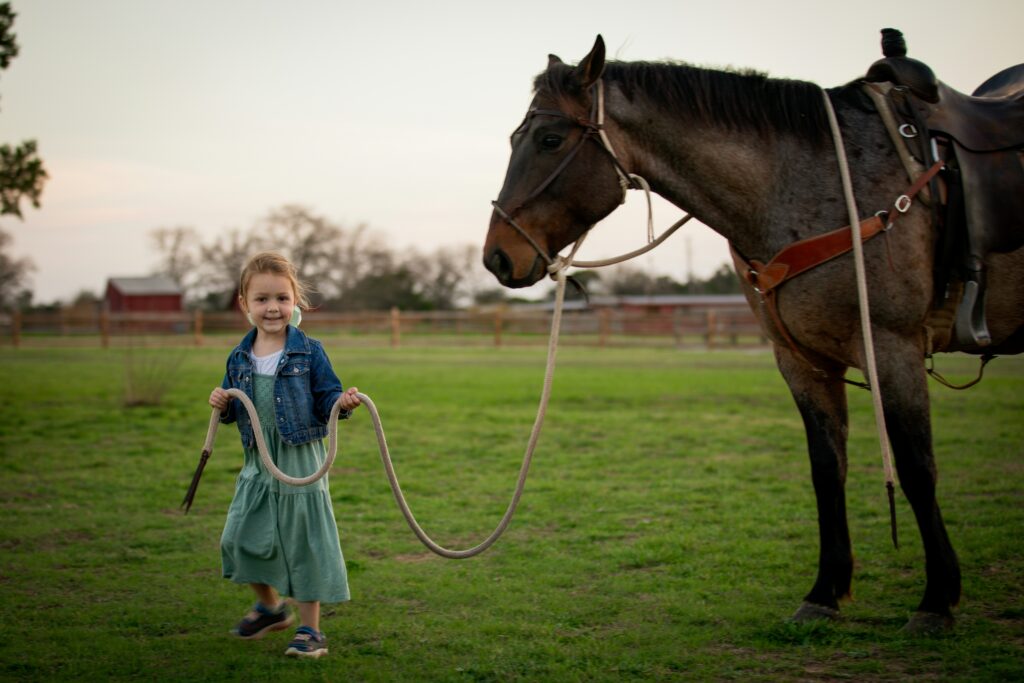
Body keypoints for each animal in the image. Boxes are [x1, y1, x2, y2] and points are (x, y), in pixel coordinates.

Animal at [483, 35, 1024, 633]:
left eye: (550, 139)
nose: (497, 256)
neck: (816, 183)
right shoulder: (802, 361)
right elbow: (826, 469)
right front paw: (824, 592)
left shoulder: (892, 347)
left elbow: (916, 468)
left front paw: (937, 600)